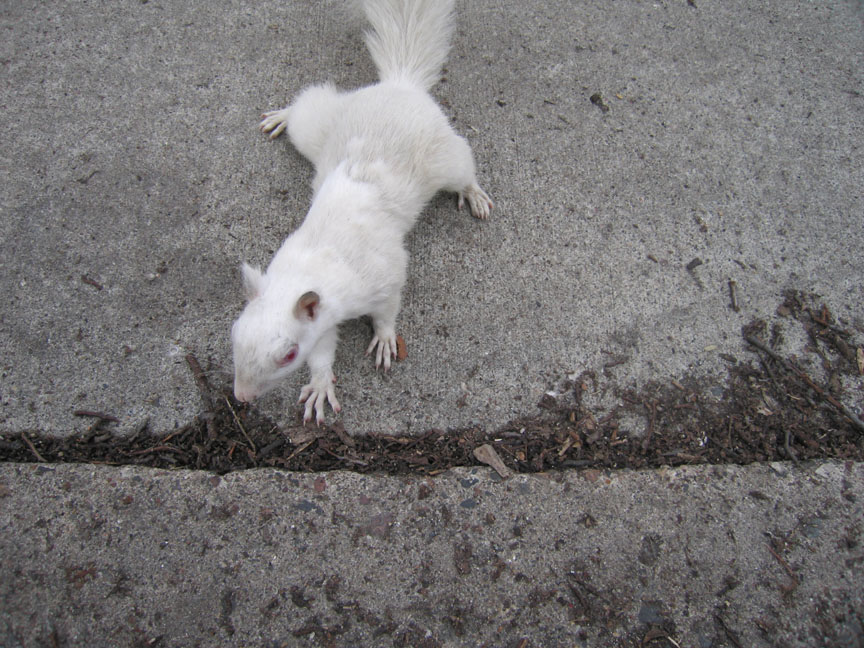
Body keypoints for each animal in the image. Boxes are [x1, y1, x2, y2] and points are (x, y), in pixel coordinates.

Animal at [230, 0, 492, 422]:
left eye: (287, 355)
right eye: (234, 333)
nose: (242, 397)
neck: (316, 263)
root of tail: (400, 86)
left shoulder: (385, 276)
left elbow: (388, 310)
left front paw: (385, 339)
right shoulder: (320, 321)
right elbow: (322, 351)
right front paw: (321, 384)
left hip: (445, 157)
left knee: (464, 167)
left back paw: (474, 193)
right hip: (319, 126)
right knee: (309, 104)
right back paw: (283, 115)